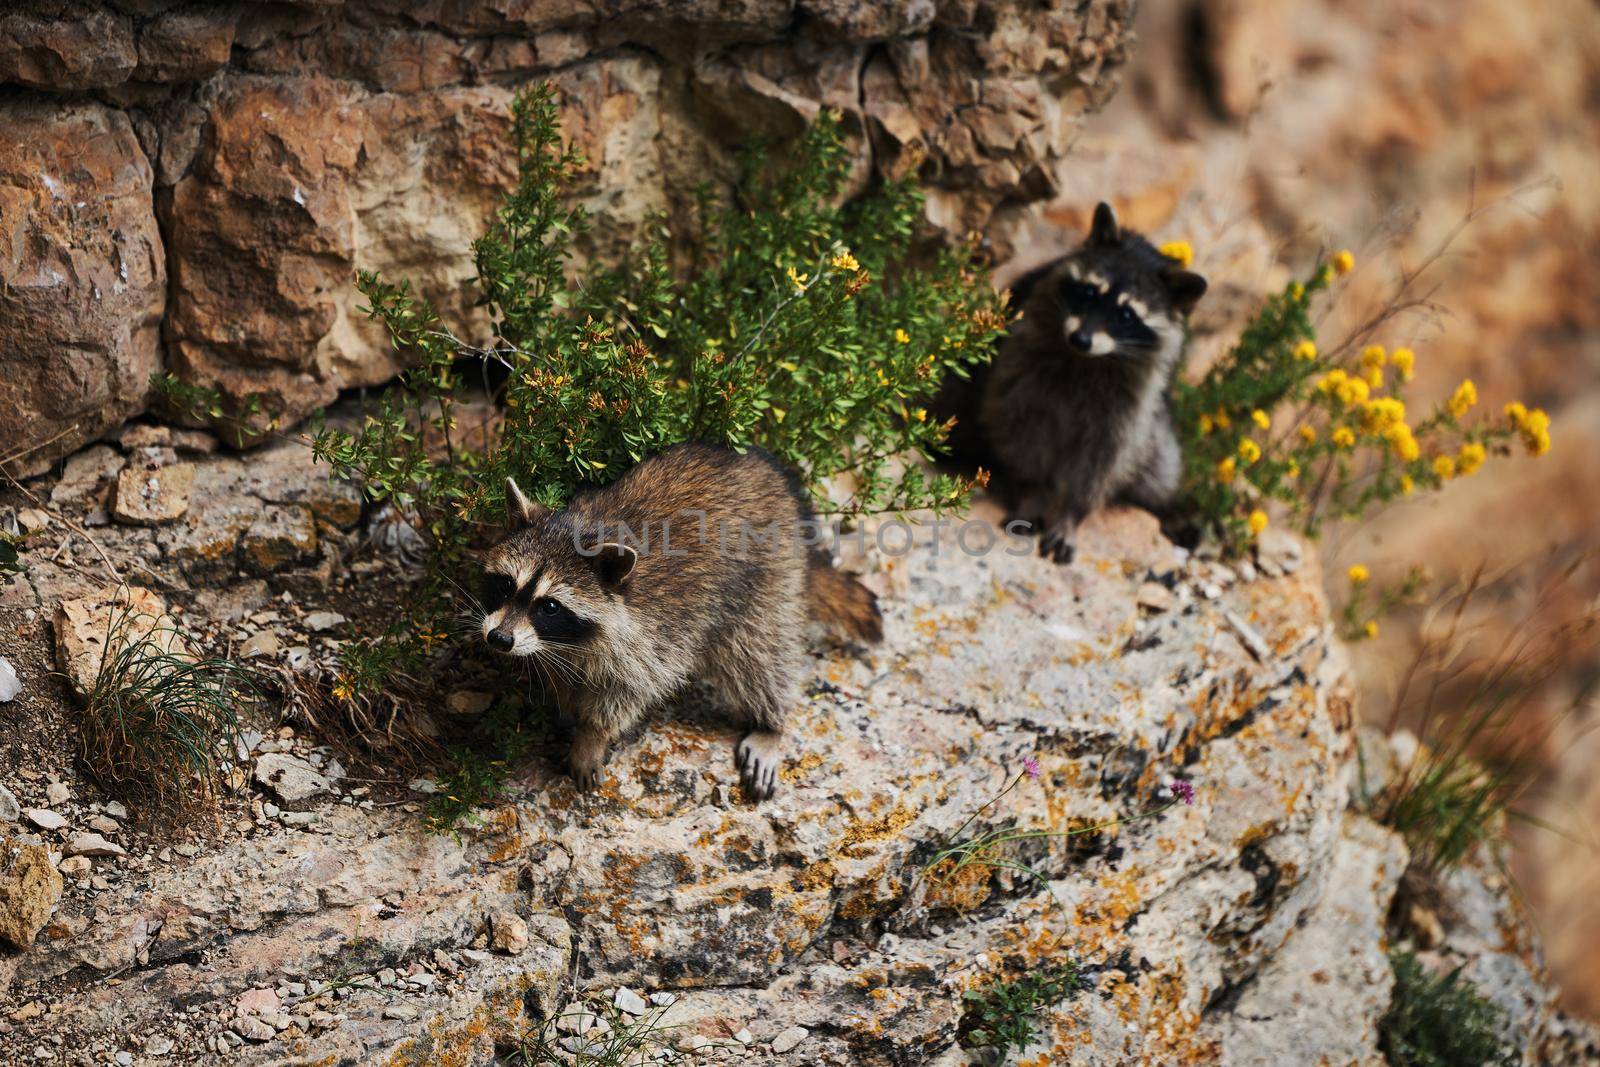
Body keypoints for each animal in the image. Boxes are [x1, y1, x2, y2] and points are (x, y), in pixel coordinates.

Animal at [480, 441, 883, 799]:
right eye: (506, 584)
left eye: (549, 606)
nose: (499, 639)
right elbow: (561, 675)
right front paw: (565, 704)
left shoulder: (655, 636)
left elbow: (626, 693)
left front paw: (591, 737)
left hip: (766, 579)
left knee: (758, 655)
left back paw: (770, 723)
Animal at [979, 203, 1203, 563]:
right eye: (1088, 292)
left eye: (1126, 315)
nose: (1080, 339)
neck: (1088, 359)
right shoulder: (1022, 376)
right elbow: (1023, 438)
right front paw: (1030, 493)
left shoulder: (1128, 410)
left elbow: (1102, 465)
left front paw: (1073, 515)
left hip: (1155, 431)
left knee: (1158, 468)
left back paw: (1166, 508)